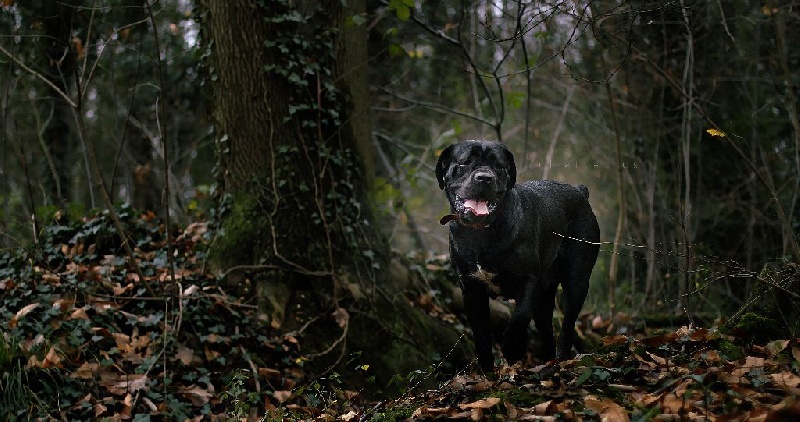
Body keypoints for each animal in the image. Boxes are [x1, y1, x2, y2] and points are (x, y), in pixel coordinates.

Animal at [438, 140, 600, 370]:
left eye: (499, 166)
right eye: (465, 163)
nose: (484, 178)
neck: (482, 233)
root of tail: (580, 192)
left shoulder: (528, 279)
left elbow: (520, 317)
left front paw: (512, 349)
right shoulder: (471, 290)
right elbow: (481, 336)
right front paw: (488, 372)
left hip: (576, 280)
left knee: (567, 325)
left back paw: (562, 359)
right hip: (545, 294)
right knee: (546, 328)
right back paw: (548, 363)